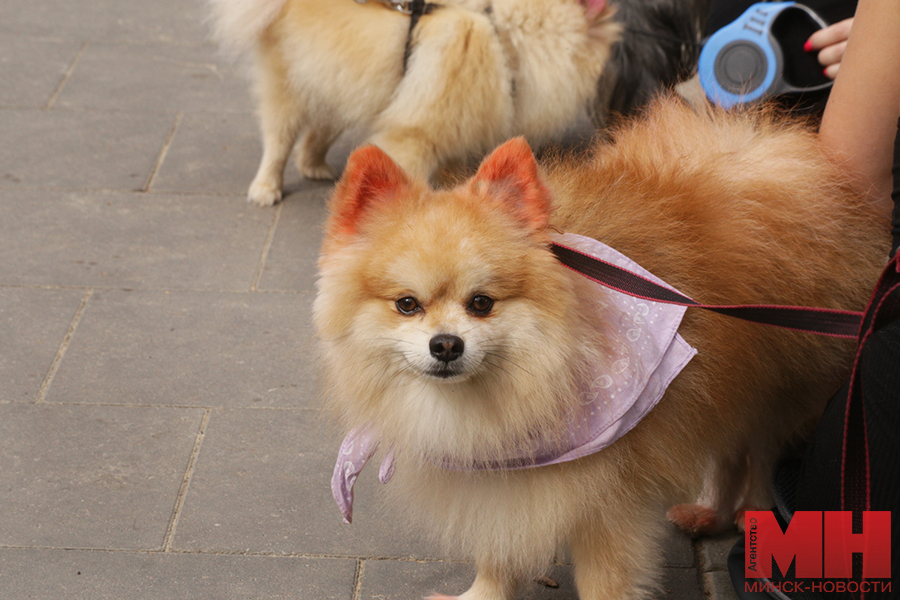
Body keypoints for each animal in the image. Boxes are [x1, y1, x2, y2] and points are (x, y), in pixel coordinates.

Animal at [209, 0, 620, 206]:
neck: (505, 33)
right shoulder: (416, 134)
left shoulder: (459, 127)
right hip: (288, 79)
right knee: (279, 137)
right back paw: (266, 188)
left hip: (338, 79)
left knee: (320, 127)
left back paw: (315, 166)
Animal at [314, 96, 884, 596]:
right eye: (407, 305)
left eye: (481, 303)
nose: (446, 345)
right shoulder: (504, 480)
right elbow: (498, 553)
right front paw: (482, 594)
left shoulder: (609, 504)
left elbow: (606, 580)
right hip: (733, 384)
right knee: (729, 454)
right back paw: (712, 514)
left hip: (783, 394)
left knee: (762, 461)